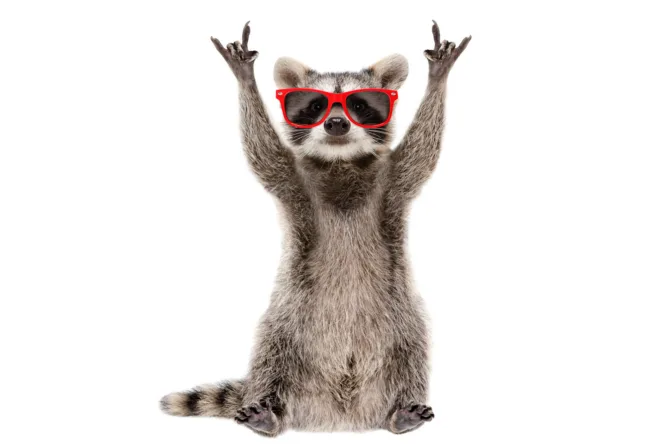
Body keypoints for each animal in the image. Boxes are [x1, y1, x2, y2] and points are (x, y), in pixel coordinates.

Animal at [160, 21, 470, 437]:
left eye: (360, 105)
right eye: (314, 106)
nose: (337, 123)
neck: (341, 163)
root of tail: (341, 415)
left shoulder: (394, 180)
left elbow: (423, 152)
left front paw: (438, 78)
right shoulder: (293, 181)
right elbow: (263, 153)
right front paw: (245, 80)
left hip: (401, 316)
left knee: (412, 350)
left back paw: (401, 410)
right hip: (287, 320)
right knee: (269, 353)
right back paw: (268, 412)